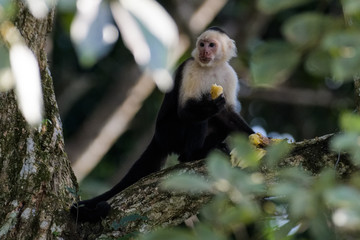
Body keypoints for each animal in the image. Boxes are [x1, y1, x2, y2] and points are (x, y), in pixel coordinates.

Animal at [71, 26, 253, 223]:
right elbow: (185, 111)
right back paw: (194, 154)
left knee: (219, 124)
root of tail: (157, 137)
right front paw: (212, 105)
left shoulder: (229, 74)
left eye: (211, 45)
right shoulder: (190, 68)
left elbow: (228, 115)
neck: (211, 68)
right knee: (197, 120)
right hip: (168, 133)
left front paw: (258, 139)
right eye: (202, 44)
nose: (204, 51)